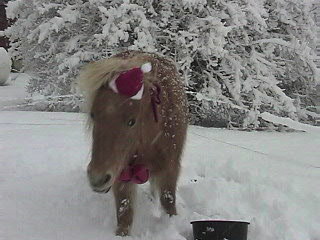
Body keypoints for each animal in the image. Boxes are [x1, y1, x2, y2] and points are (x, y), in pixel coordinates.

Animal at [77, 51, 188, 236]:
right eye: (93, 115)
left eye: (132, 121)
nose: (97, 179)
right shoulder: (122, 173)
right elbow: (125, 214)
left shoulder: (170, 167)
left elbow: (168, 201)